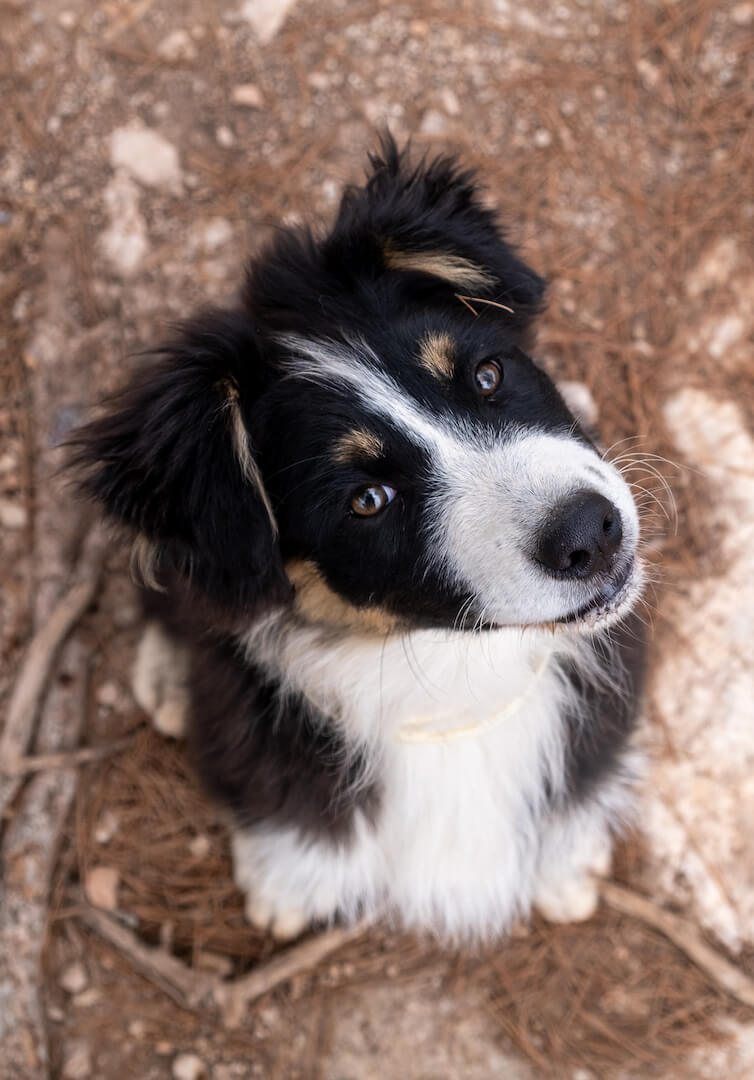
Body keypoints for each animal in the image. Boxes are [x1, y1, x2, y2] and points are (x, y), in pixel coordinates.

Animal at [73, 139, 643, 941]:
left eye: (488, 374)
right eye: (367, 500)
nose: (592, 531)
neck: (449, 681)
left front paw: (568, 863)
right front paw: (291, 883)